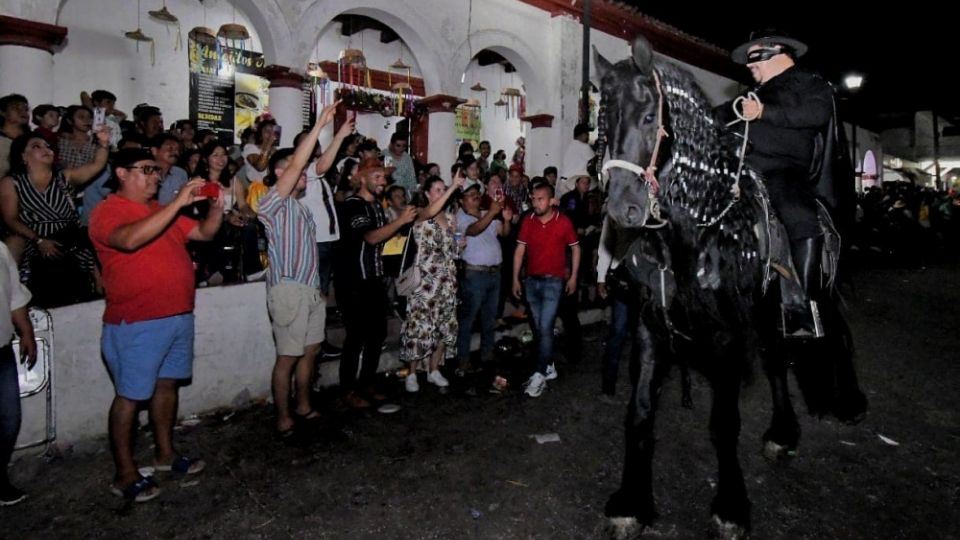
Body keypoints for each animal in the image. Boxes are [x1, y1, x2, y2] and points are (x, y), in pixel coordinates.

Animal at [596, 35, 868, 536]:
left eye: (649, 118)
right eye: (605, 121)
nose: (625, 209)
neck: (693, 235)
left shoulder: (725, 338)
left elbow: (723, 423)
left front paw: (731, 506)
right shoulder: (650, 327)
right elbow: (639, 413)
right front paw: (631, 502)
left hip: (815, 291)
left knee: (835, 332)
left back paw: (849, 400)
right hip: (767, 311)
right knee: (778, 360)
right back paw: (783, 432)